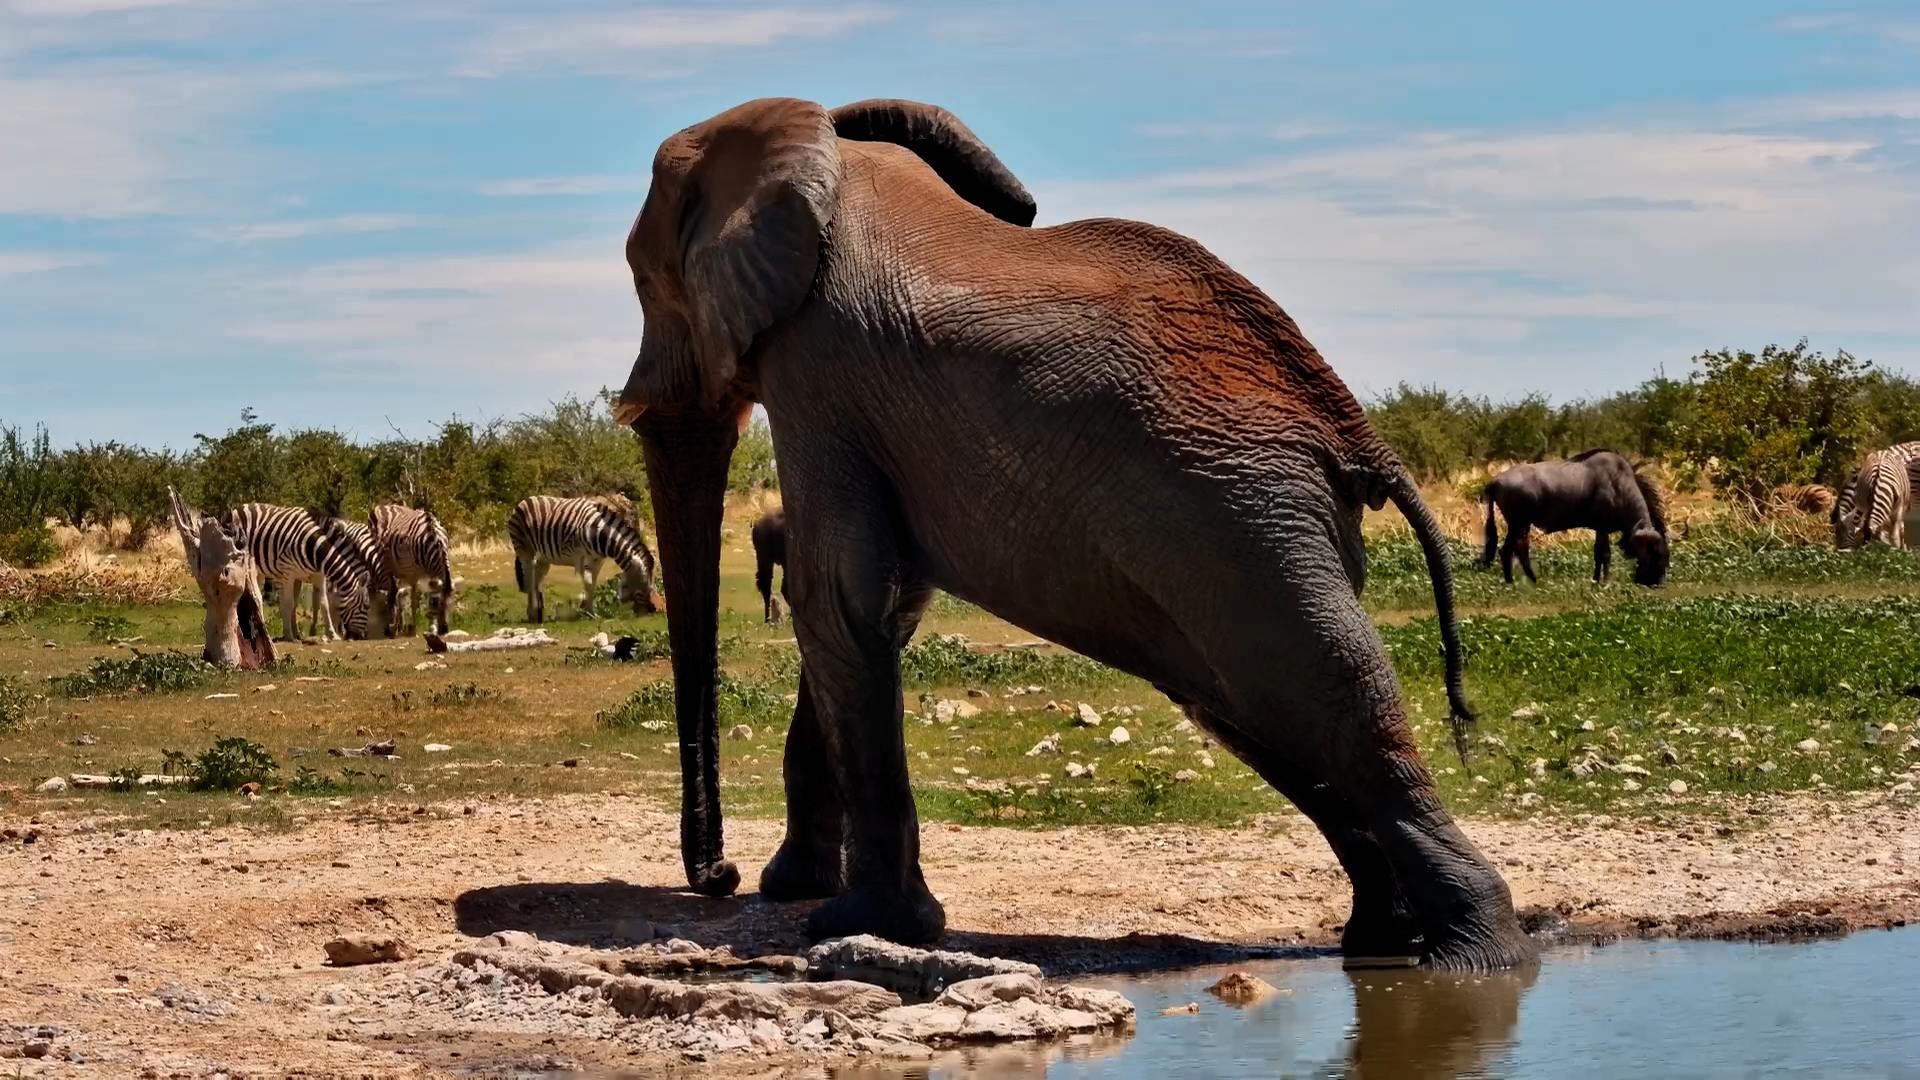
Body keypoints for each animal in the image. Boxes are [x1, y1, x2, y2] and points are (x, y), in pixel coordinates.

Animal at [612, 96, 1534, 970]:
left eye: (645, 281)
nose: (720, 878)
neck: (823, 149)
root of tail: (1354, 433)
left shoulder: (819, 369)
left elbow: (835, 598)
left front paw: (856, 923)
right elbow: (878, 607)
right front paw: (801, 890)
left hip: (1245, 520)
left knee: (1330, 698)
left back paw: (1473, 958)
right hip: (1247, 533)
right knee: (1253, 709)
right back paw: (1383, 939)